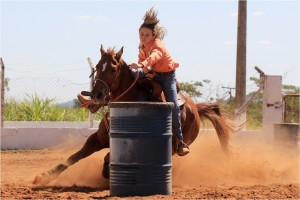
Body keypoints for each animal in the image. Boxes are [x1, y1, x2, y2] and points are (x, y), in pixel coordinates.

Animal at [32, 45, 238, 186]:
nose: (97, 94)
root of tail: (195, 107)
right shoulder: (96, 138)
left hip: (176, 146)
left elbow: (108, 157)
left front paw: (107, 172)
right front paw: (44, 177)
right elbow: (72, 158)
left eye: (113, 68)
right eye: (97, 66)